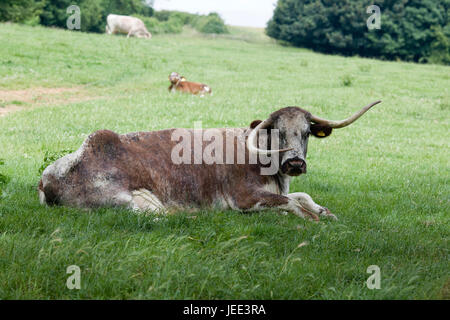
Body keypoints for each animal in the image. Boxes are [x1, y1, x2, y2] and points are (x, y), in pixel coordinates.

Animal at [38, 101, 382, 221]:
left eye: (307, 132)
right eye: (278, 132)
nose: (295, 164)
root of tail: (46, 179)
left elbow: (302, 196)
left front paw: (325, 211)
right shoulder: (245, 198)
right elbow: (292, 204)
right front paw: (315, 219)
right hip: (135, 200)